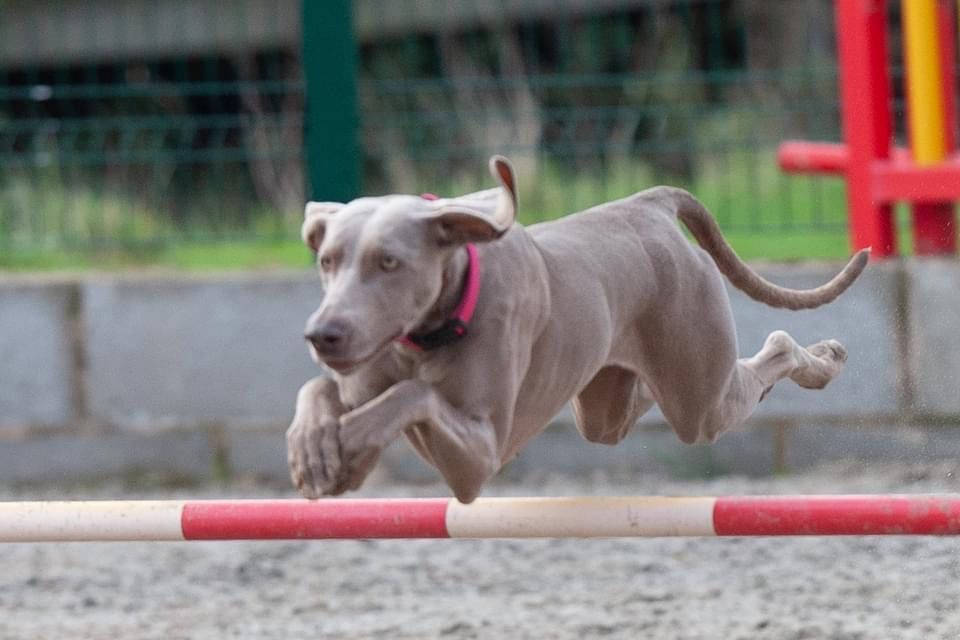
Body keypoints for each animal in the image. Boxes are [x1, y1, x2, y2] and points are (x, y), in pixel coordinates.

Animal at [287, 156, 868, 503]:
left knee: (772, 350)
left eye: (389, 262)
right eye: (327, 260)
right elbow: (325, 390)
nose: (321, 333)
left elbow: (411, 396)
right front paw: (312, 445)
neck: (432, 326)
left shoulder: (479, 457)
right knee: (635, 403)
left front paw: (342, 440)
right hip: (606, 403)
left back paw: (825, 359)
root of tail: (647, 203)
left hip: (699, 399)